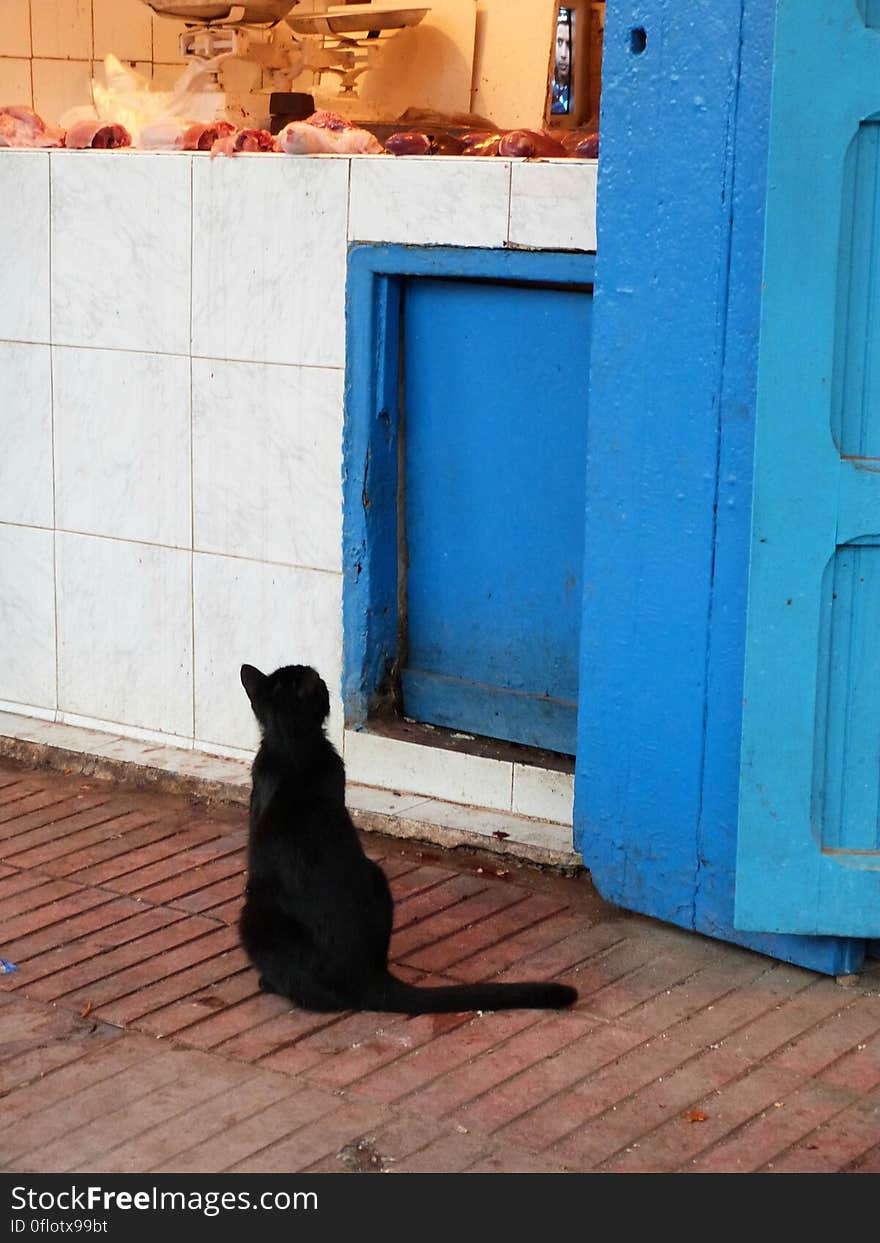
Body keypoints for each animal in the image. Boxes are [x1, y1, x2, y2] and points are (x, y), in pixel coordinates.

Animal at [237, 666, 576, 1014]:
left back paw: (268, 983)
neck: (295, 747)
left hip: (254, 913)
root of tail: (367, 976)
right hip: (377, 875)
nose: (317, 674)